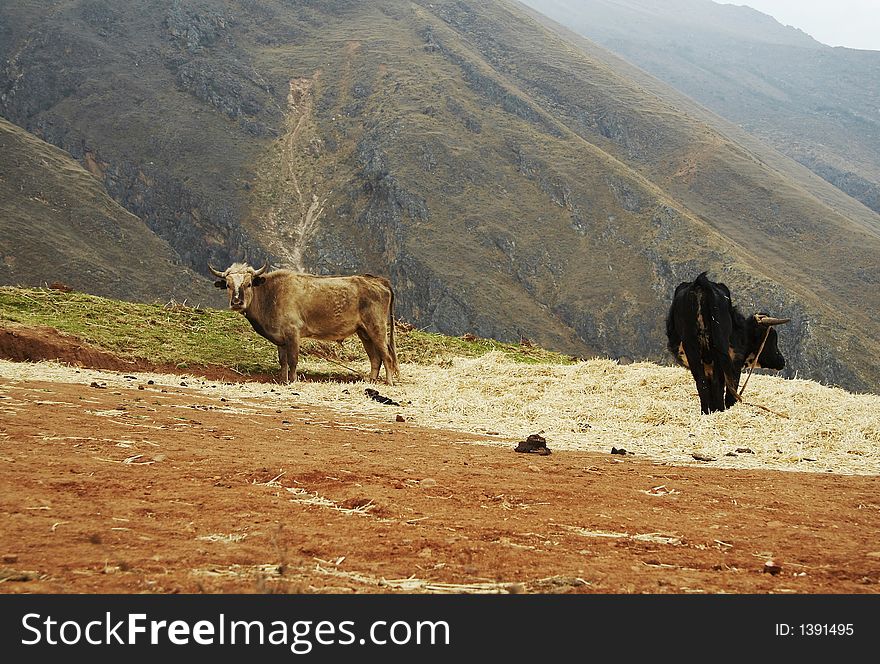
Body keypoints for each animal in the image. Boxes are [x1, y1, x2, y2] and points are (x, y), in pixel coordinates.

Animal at [208, 260, 400, 384]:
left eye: (248, 284)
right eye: (228, 285)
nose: (236, 302)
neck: (271, 295)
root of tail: (377, 280)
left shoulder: (293, 333)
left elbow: (293, 360)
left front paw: (292, 381)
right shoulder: (281, 339)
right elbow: (283, 361)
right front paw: (283, 380)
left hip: (377, 328)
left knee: (386, 355)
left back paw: (388, 383)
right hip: (364, 332)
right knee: (375, 358)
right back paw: (371, 381)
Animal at [668, 272, 792, 412]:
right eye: (772, 338)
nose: (782, 361)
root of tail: (700, 283)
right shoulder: (735, 363)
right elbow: (730, 388)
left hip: (692, 347)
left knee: (702, 382)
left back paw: (706, 411)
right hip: (719, 346)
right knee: (719, 382)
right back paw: (720, 409)